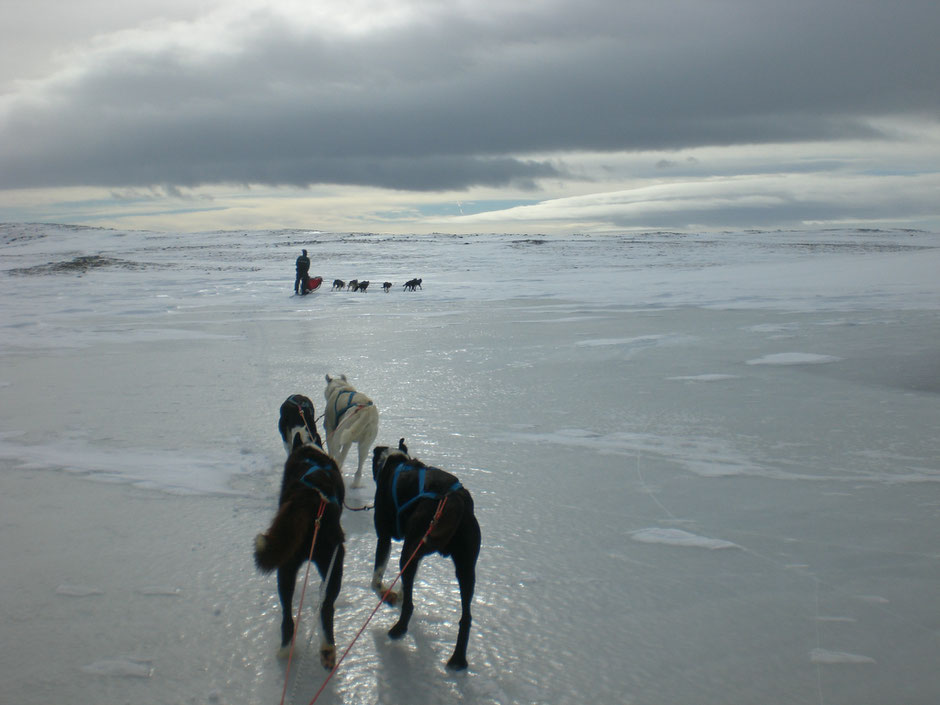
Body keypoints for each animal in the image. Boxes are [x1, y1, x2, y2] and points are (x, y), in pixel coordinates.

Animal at [253, 442, 346, 668]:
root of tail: (311, 499)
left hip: (289, 567)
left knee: (288, 616)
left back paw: (288, 650)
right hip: (333, 562)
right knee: (326, 607)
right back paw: (326, 649)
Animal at [370, 438, 482, 668]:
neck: (395, 461)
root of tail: (454, 498)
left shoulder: (384, 537)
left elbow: (376, 581)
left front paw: (389, 596)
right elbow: (405, 585)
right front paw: (399, 593)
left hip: (410, 549)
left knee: (410, 606)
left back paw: (398, 629)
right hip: (465, 568)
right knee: (466, 617)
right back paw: (458, 659)